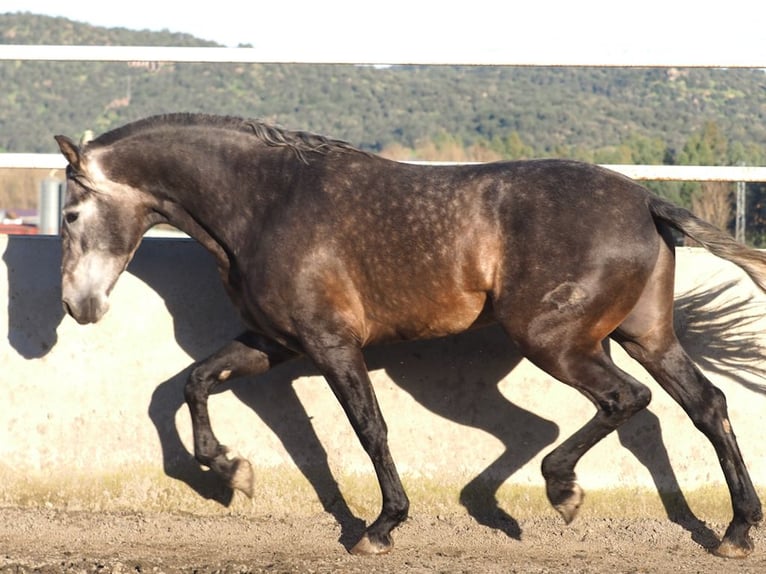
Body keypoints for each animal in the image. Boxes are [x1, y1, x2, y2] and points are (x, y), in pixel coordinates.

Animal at [55, 112, 766, 560]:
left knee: (623, 403)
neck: (268, 203)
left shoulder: (331, 343)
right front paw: (230, 472)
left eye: (70, 213)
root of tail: (645, 200)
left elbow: (369, 429)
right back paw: (736, 532)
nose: (77, 306)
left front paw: (380, 527)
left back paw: (563, 491)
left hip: (552, 340)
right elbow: (193, 381)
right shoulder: (275, 340)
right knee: (706, 406)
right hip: (646, 336)